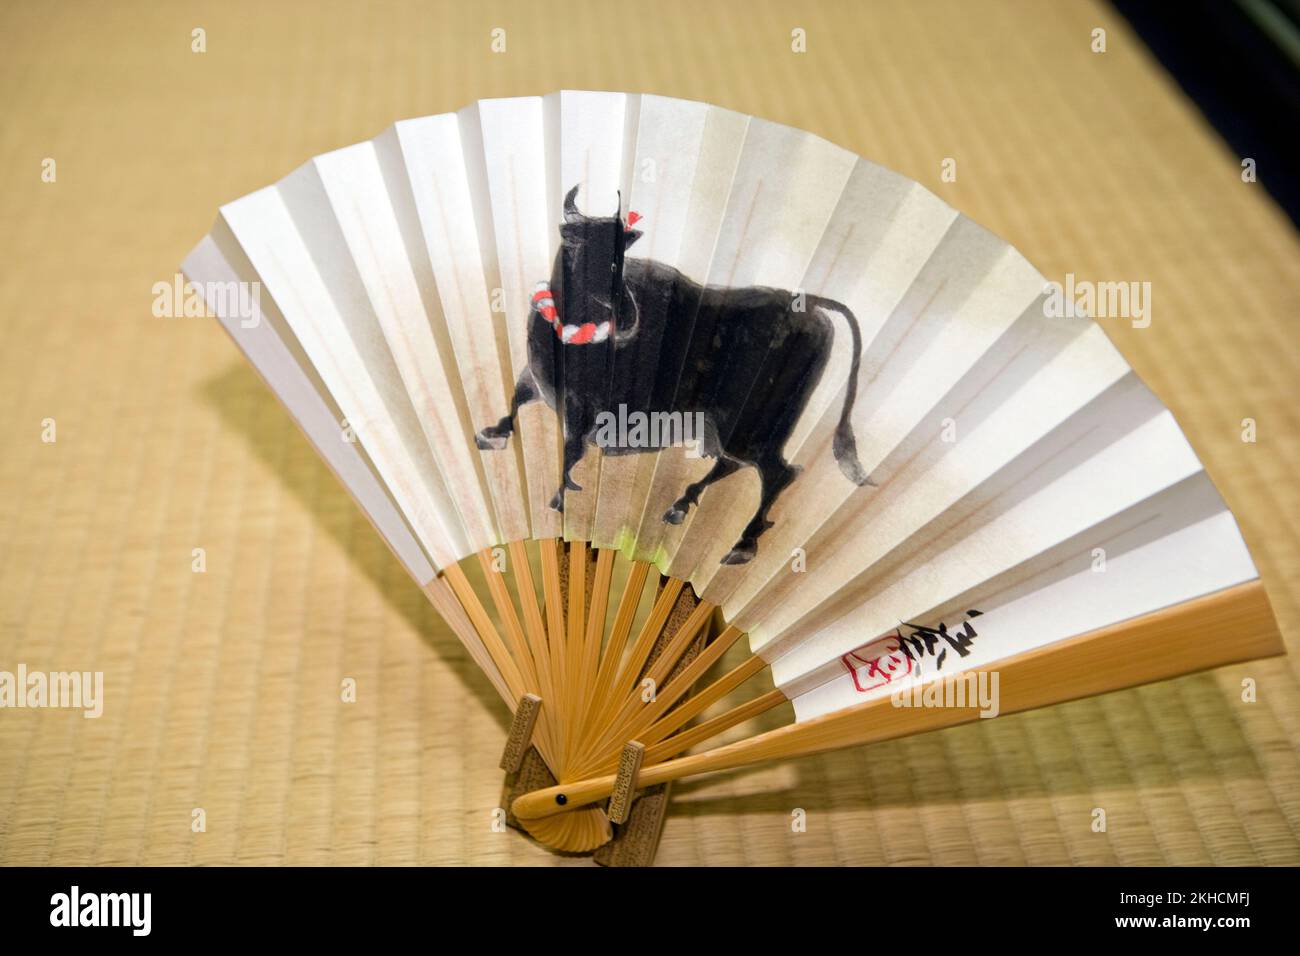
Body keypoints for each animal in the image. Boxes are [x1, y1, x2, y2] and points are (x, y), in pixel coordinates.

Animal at [473, 183, 868, 564]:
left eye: (620, 261)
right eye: (593, 256)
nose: (628, 315)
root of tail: (807, 303)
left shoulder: (582, 411)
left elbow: (569, 453)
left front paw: (557, 501)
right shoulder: (537, 379)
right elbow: (516, 398)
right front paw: (492, 435)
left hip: (753, 429)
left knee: (778, 473)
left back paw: (741, 546)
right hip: (728, 427)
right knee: (733, 464)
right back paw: (680, 505)